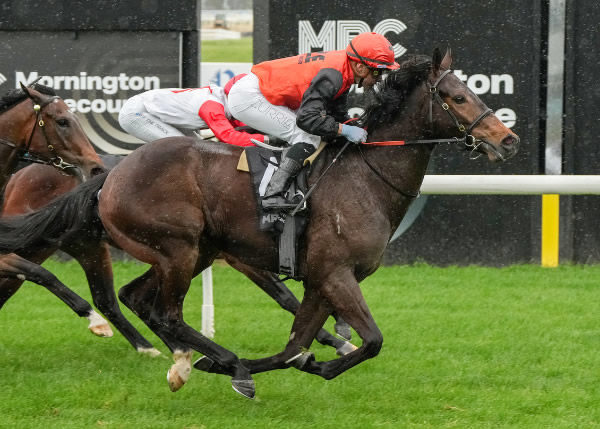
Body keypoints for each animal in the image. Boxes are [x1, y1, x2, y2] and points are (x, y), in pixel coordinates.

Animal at [0, 51, 520, 398]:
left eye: (474, 91)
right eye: (457, 96)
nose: (508, 140)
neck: (364, 175)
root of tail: (109, 175)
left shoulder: (321, 279)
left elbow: (296, 345)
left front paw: (313, 360)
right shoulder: (336, 273)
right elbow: (370, 341)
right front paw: (251, 367)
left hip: (193, 250)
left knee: (134, 298)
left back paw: (186, 361)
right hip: (178, 247)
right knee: (165, 312)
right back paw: (221, 363)